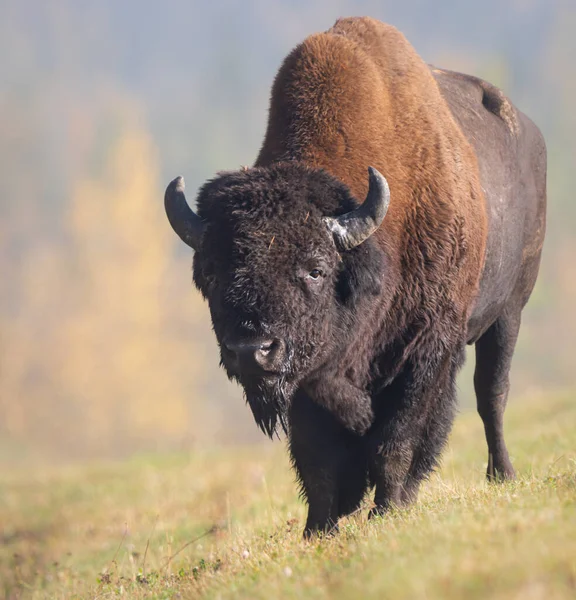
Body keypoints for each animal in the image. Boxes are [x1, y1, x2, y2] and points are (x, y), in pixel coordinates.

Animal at [164, 16, 548, 536]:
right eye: (210, 273)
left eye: (316, 269)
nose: (251, 350)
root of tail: (529, 131)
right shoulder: (308, 377)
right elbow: (318, 461)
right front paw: (318, 529)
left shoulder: (425, 348)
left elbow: (397, 440)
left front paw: (389, 509)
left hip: (508, 312)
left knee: (492, 392)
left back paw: (501, 474)